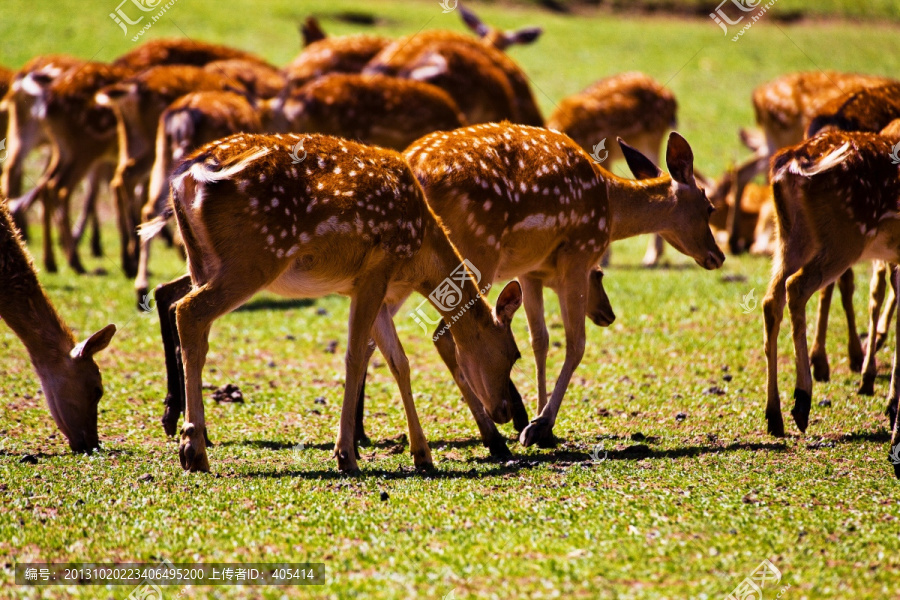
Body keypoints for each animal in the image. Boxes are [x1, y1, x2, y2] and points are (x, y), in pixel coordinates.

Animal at [145, 132, 528, 474]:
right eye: (513, 353)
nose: (506, 412)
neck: (420, 252)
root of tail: (189, 174)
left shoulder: (367, 284)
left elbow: (399, 361)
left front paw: (422, 455)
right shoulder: (378, 268)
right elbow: (355, 357)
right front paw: (346, 455)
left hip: (201, 261)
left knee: (189, 321)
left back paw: (192, 440)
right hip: (252, 258)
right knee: (188, 311)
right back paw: (194, 450)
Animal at [400, 122, 724, 448]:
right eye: (710, 207)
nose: (718, 256)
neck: (610, 211)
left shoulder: (530, 271)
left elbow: (539, 340)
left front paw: (540, 425)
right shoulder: (578, 254)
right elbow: (576, 344)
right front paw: (541, 425)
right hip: (475, 254)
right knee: (445, 335)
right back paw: (490, 435)